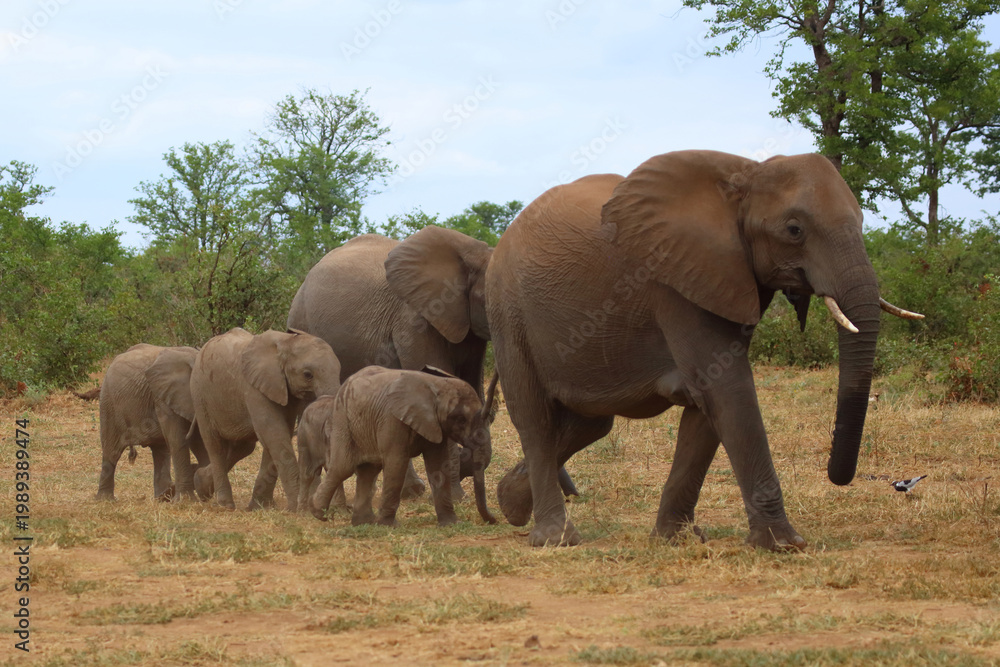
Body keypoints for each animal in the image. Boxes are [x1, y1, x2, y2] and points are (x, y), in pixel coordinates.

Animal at [96, 344, 208, 501]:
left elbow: (199, 441)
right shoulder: (163, 397)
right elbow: (180, 440)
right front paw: (186, 501)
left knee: (161, 451)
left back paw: (163, 497)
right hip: (108, 403)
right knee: (112, 452)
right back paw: (105, 500)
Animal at [189, 328, 341, 511]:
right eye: (308, 375)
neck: (286, 341)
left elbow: (279, 434)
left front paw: (261, 506)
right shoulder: (253, 388)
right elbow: (274, 434)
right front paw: (298, 510)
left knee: (242, 447)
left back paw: (200, 485)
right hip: (200, 396)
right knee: (215, 445)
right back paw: (225, 504)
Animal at [310, 366, 498, 527]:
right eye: (460, 420)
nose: (494, 520)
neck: (436, 386)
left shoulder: (436, 425)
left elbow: (438, 463)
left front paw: (451, 524)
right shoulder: (392, 419)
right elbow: (396, 463)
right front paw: (388, 526)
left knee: (368, 471)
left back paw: (364, 522)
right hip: (342, 419)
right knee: (343, 467)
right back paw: (318, 513)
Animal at [488, 150, 923, 550]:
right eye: (794, 229)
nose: (837, 475)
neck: (746, 173)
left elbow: (707, 406)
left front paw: (674, 538)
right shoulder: (674, 282)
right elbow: (727, 390)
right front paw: (784, 545)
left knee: (590, 423)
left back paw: (510, 503)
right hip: (509, 313)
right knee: (535, 418)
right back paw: (556, 539)